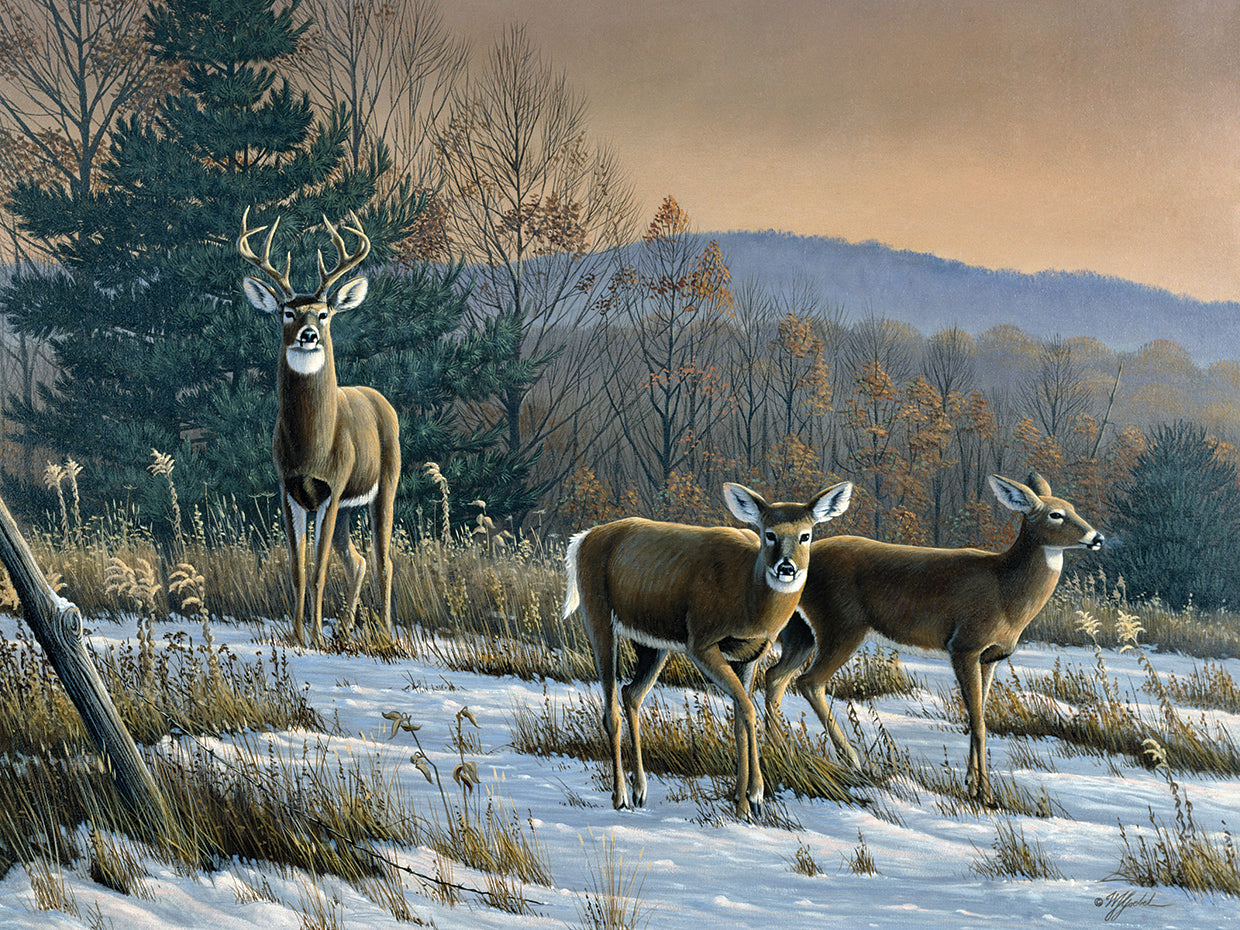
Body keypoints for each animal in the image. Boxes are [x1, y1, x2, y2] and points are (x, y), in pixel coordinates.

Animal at [238, 208, 401, 648]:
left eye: (324, 313)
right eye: (287, 311)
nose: (308, 334)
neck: (313, 445)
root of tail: (379, 399)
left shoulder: (332, 485)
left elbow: (318, 569)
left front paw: (315, 638)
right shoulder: (289, 488)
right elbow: (297, 570)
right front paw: (297, 635)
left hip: (386, 484)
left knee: (383, 560)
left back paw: (386, 633)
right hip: (347, 507)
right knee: (358, 560)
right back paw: (346, 626)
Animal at [562, 480, 853, 819]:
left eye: (806, 535)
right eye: (769, 533)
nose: (786, 567)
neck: (749, 599)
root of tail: (582, 539)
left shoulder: (751, 655)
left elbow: (740, 717)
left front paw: (743, 801)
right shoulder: (701, 642)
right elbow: (748, 709)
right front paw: (754, 795)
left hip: (652, 643)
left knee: (631, 693)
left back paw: (640, 791)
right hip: (597, 613)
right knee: (611, 710)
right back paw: (620, 797)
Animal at [762, 473, 1103, 805]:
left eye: (1073, 508)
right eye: (1056, 514)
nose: (1096, 538)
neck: (1004, 591)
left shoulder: (991, 657)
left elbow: (979, 716)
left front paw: (971, 784)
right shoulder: (964, 645)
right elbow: (978, 720)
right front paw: (984, 793)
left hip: (801, 631)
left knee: (775, 676)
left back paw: (778, 749)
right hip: (842, 625)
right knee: (809, 682)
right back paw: (852, 760)